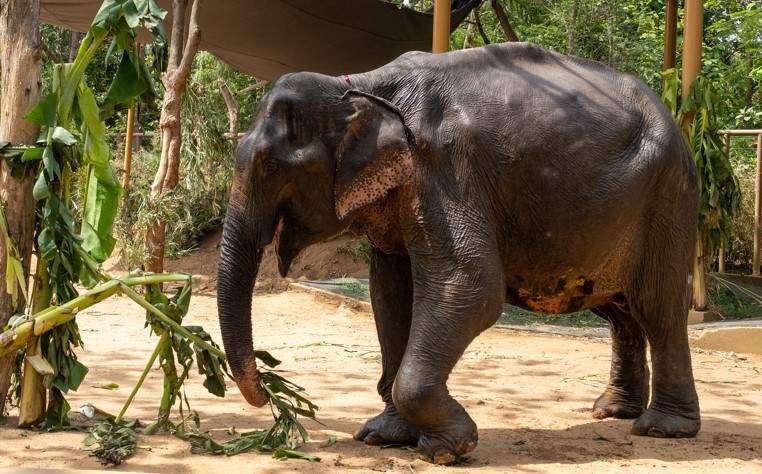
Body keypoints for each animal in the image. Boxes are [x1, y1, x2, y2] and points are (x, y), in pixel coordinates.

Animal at [216, 42, 701, 464]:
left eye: (270, 166)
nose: (269, 393)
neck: (362, 86)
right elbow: (390, 294)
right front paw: (383, 437)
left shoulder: (446, 168)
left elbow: (470, 284)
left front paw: (449, 449)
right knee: (618, 309)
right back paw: (613, 411)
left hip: (668, 194)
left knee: (657, 305)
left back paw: (662, 429)